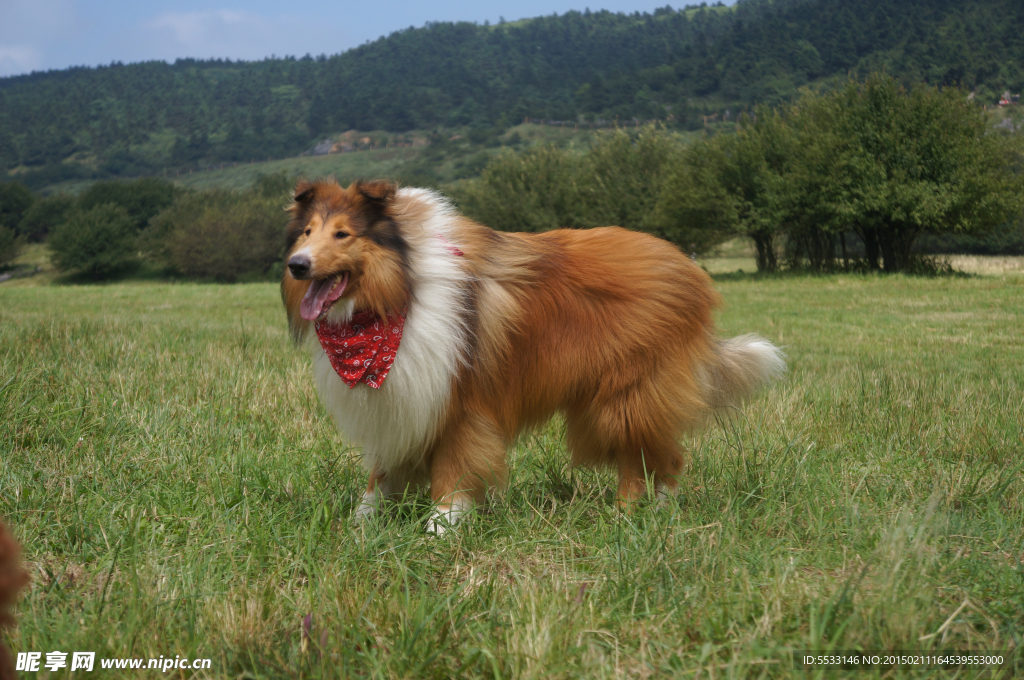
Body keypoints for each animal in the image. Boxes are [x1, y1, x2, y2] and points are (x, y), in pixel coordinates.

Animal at [280, 178, 782, 532]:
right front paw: (360, 525)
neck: (400, 294)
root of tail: (688, 268)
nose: (296, 265)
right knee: (658, 456)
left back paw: (630, 516)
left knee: (651, 459)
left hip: (623, 398)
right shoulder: (406, 399)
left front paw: (441, 526)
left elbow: (454, 470)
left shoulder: (461, 403)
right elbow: (382, 474)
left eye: (343, 234)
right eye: (306, 232)